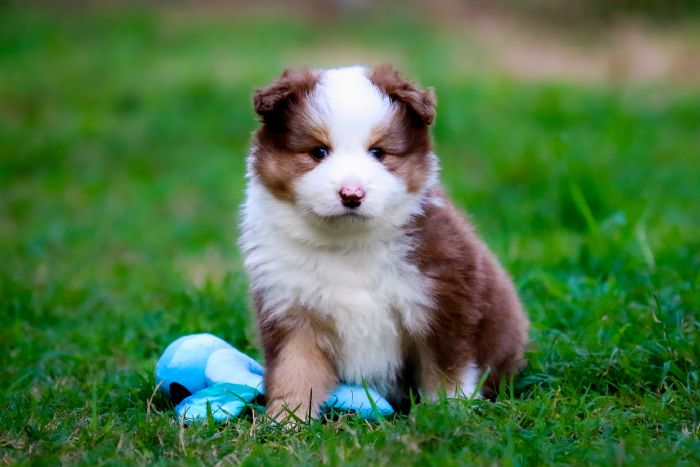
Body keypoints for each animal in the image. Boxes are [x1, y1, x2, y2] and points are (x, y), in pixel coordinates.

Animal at [238, 65, 528, 420]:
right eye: (319, 152)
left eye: (378, 153)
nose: (351, 194)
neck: (349, 244)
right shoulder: (291, 313)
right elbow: (294, 373)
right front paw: (283, 422)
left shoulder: (443, 307)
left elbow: (445, 374)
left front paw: (445, 417)